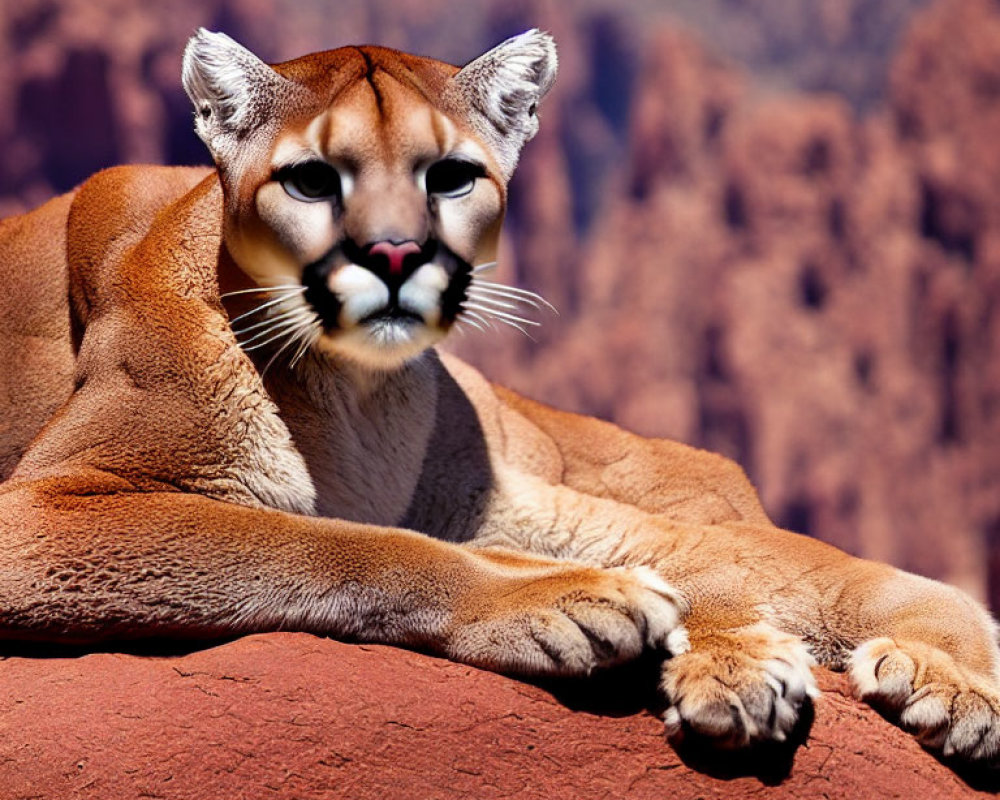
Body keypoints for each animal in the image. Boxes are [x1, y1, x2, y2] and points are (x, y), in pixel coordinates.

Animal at [0, 26, 996, 764]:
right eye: (312, 179)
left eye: (450, 175)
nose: (395, 254)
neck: (358, 400)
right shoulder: (44, 513)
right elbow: (331, 541)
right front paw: (560, 604)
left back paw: (933, 677)